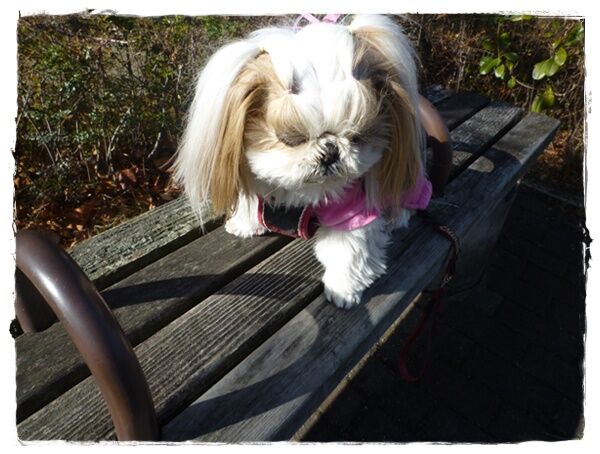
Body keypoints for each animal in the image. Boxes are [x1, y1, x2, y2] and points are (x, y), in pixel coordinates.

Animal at [173, 14, 450, 309]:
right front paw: (245, 224)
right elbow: (252, 200)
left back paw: (397, 217)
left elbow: (348, 250)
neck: (299, 192)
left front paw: (343, 290)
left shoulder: (352, 211)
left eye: (357, 137)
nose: (330, 151)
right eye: (291, 139)